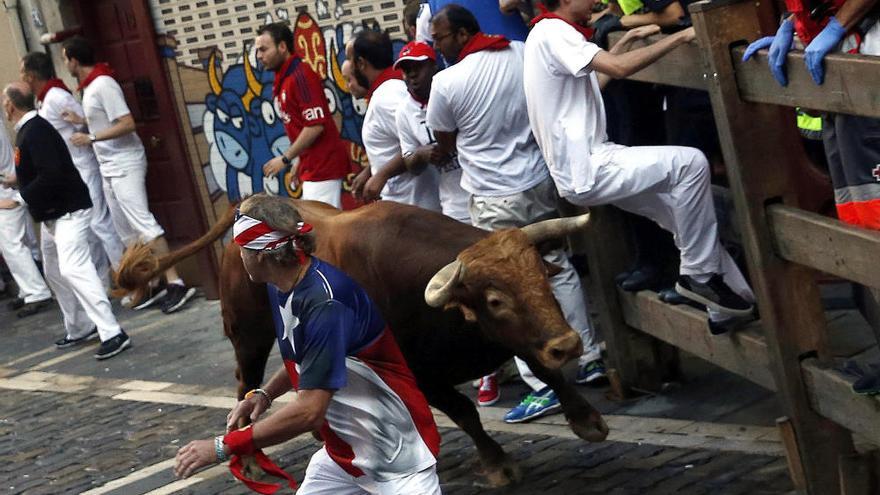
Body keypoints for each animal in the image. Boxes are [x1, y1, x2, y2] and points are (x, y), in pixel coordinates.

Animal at [120, 200, 608, 486]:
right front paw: (496, 463)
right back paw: (254, 458)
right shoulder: (421, 373)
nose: (569, 343)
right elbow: (465, 411)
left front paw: (586, 419)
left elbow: (542, 366)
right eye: (495, 299)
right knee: (246, 382)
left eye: (542, 276)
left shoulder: (518, 336)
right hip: (249, 335)